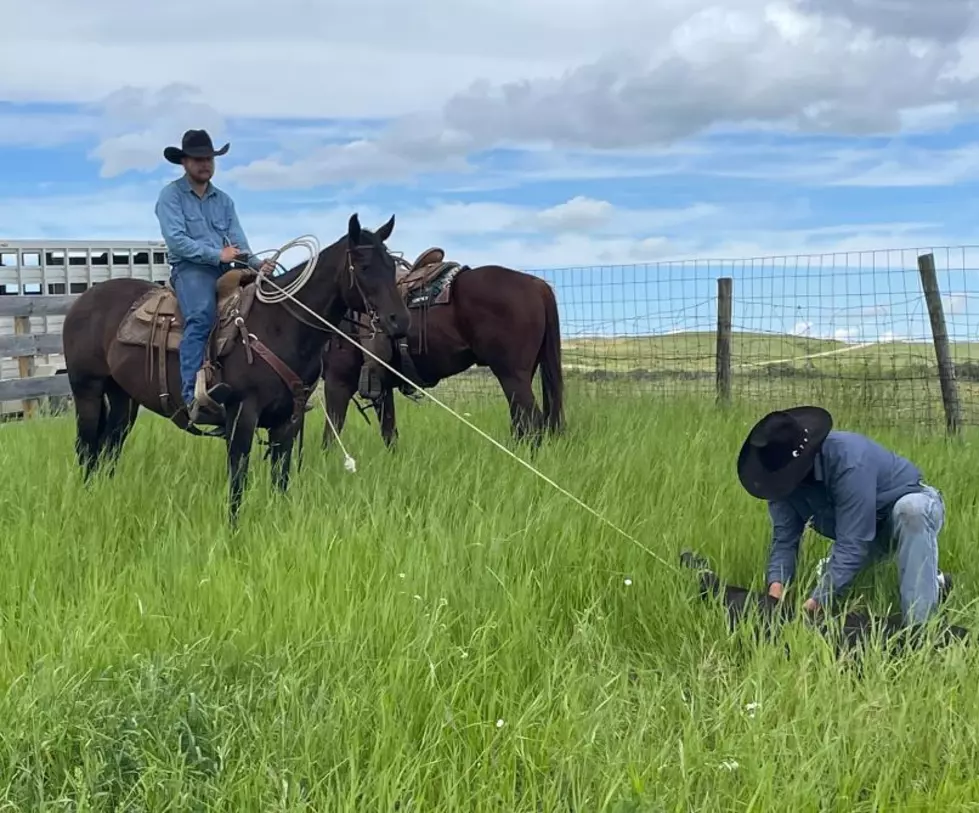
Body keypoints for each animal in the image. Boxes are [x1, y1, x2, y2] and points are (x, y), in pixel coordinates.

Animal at [62, 213, 410, 524]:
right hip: (87, 390)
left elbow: (280, 478)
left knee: (109, 447)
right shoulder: (241, 414)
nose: (400, 321)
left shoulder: (288, 420)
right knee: (86, 447)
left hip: (123, 397)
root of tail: (83, 300)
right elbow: (238, 479)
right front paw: (234, 529)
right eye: (364, 267)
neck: (278, 326)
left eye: (391, 265)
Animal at [324, 252, 568, 448]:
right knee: (522, 424)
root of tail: (537, 285)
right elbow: (389, 434)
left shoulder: (338, 382)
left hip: (511, 375)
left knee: (530, 423)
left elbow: (330, 435)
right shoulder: (380, 387)